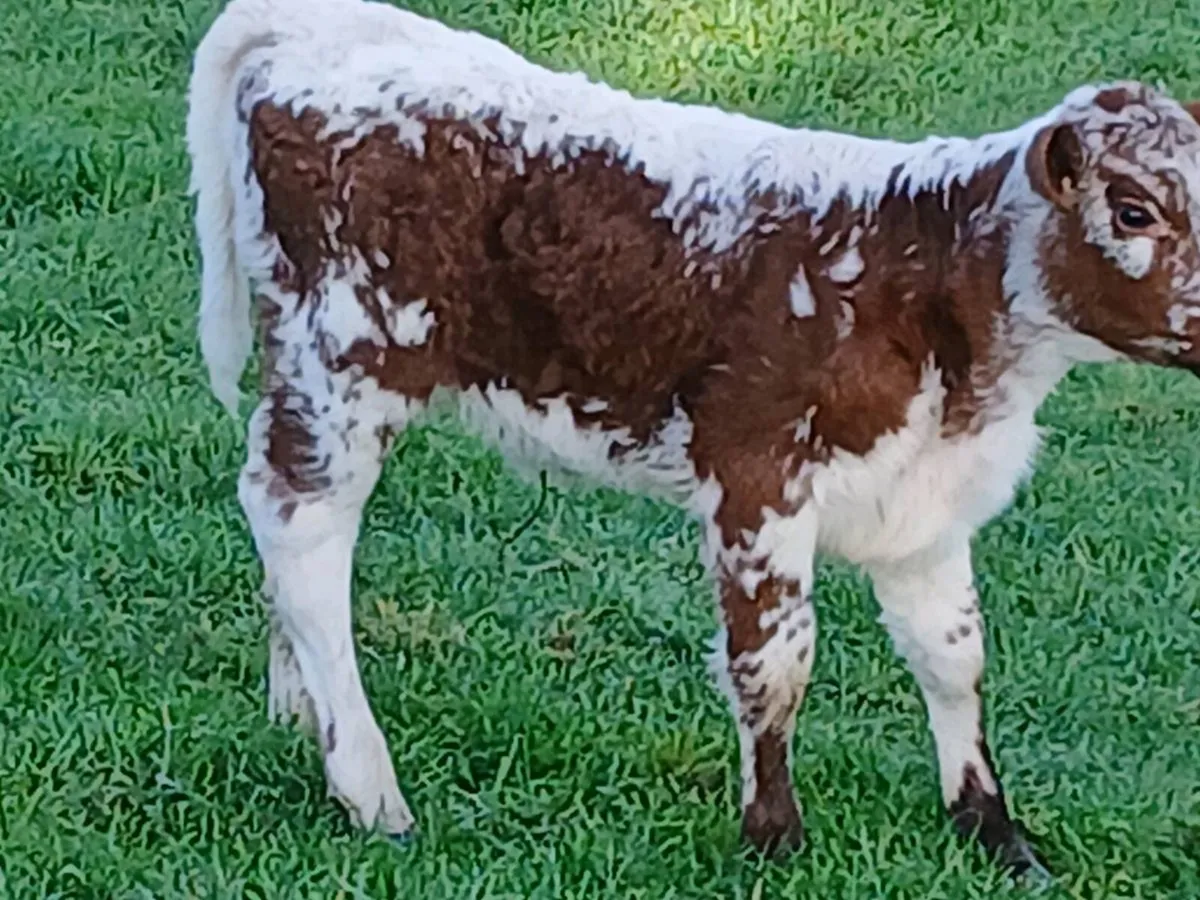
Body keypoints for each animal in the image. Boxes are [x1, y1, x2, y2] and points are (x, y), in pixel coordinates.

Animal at [186, 0, 1200, 879]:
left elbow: (955, 659)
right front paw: (774, 839)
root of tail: (311, 21)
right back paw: (367, 785)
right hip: (343, 361)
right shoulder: (756, 473)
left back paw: (299, 713)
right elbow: (774, 664)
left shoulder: (925, 504)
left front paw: (993, 831)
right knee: (301, 527)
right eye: (1134, 209)